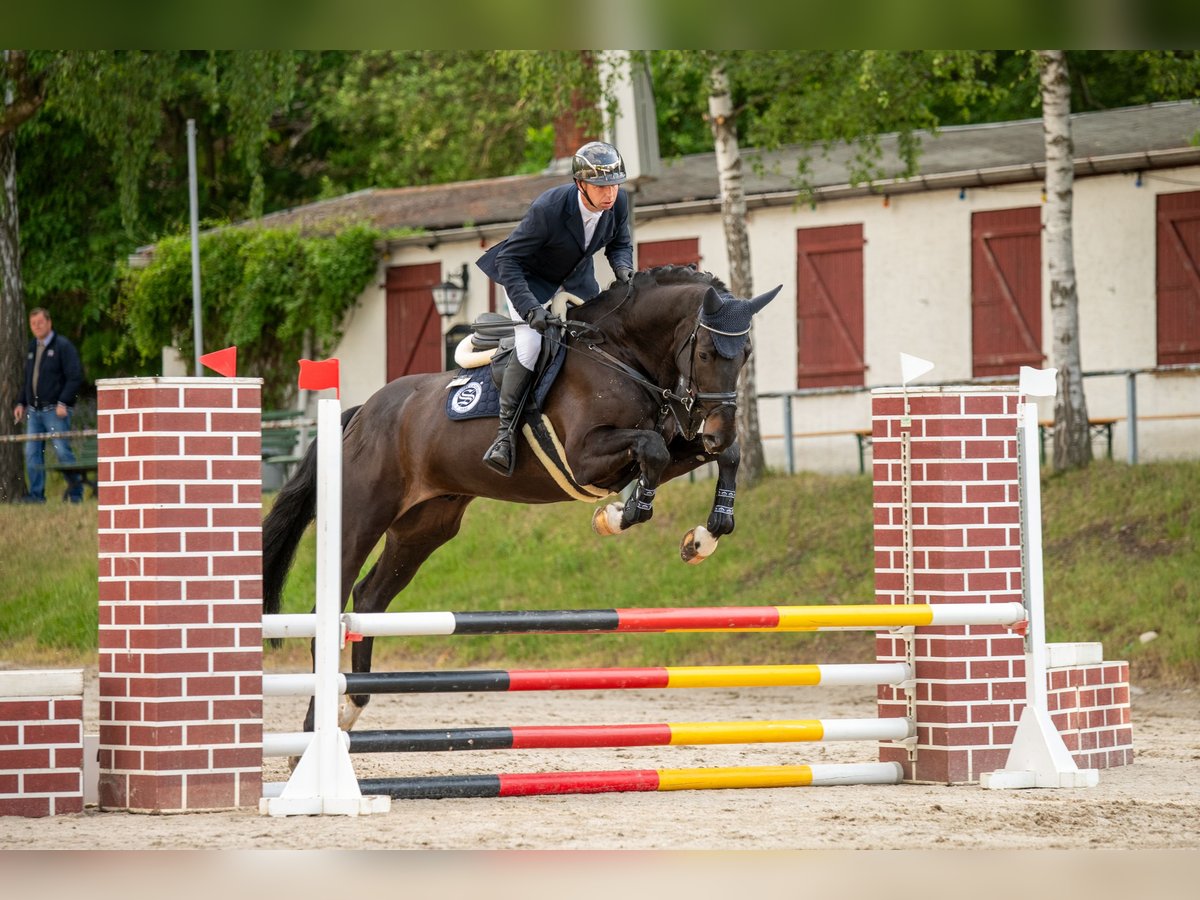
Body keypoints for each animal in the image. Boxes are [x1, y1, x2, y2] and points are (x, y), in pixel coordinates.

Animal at [265, 266, 777, 734]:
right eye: (706, 352)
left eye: (747, 355)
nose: (716, 428)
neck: (624, 356)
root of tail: (359, 415)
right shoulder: (585, 458)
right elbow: (651, 449)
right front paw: (621, 514)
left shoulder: (668, 446)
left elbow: (716, 455)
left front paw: (704, 536)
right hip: (360, 517)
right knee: (329, 607)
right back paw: (317, 722)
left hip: (424, 527)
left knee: (369, 597)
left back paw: (352, 705)